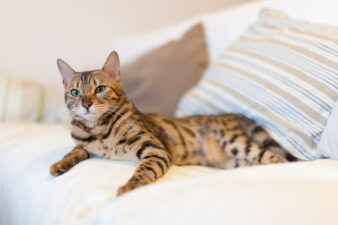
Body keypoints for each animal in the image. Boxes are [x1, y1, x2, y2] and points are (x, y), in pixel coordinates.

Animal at [50, 50, 298, 195]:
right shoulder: (85, 144)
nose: (86, 104)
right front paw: (59, 164)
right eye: (75, 92)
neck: (98, 130)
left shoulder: (156, 149)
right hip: (234, 161)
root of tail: (231, 114)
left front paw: (128, 187)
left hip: (237, 144)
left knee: (277, 157)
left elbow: (143, 171)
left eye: (100, 89)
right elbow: (75, 150)